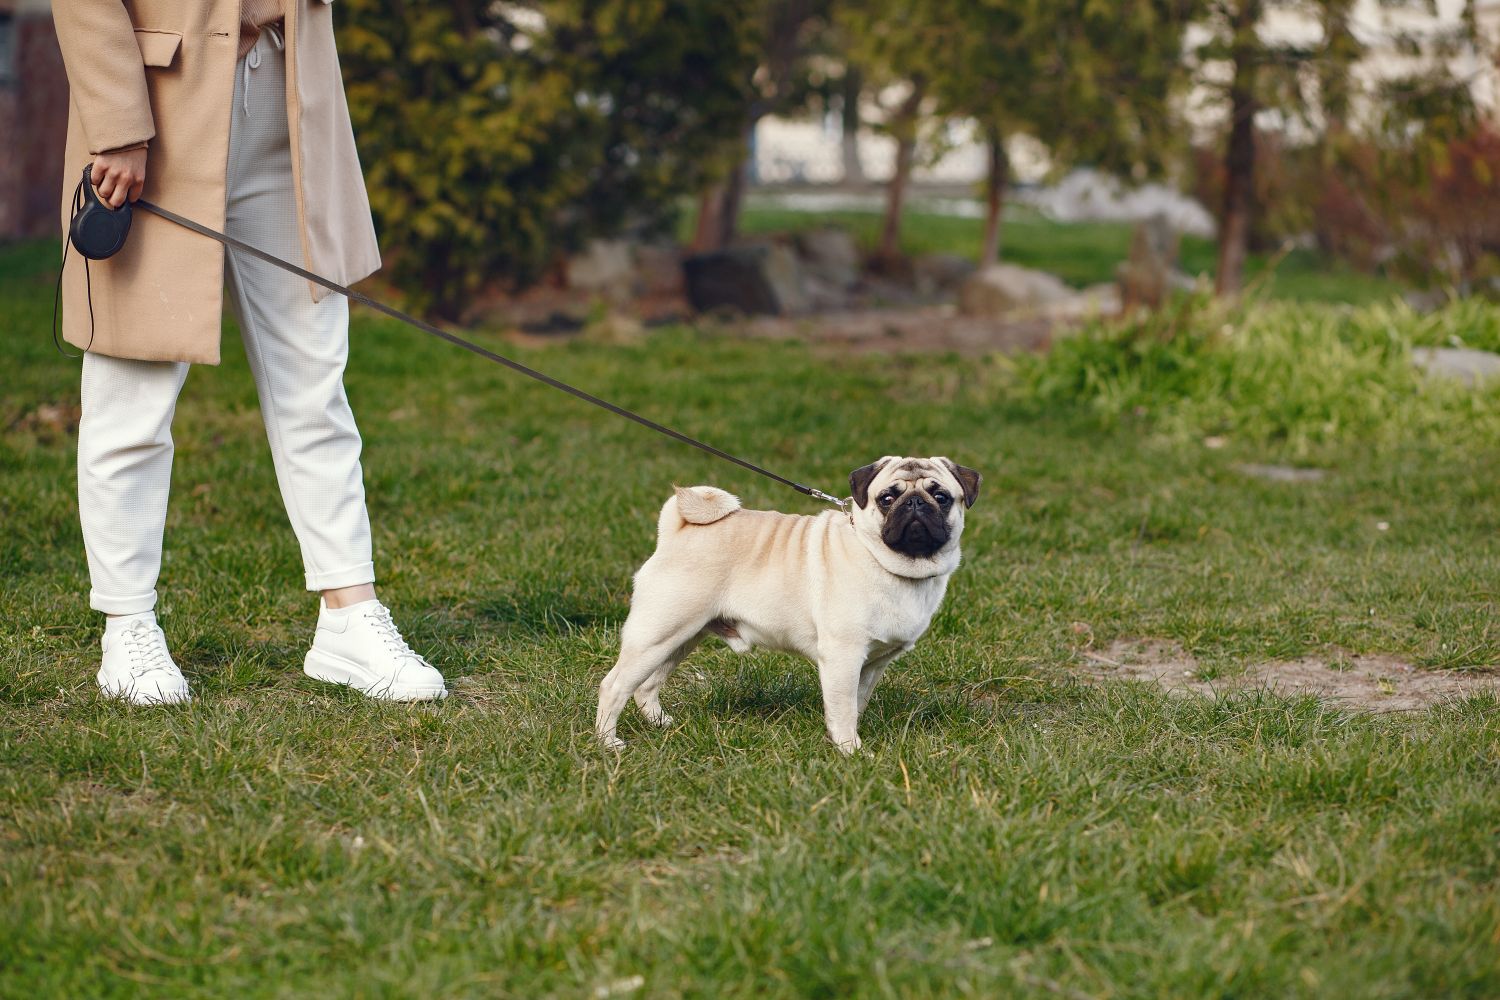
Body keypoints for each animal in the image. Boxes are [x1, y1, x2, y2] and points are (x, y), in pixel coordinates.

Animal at [597, 458, 984, 755]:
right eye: (887, 498)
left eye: (941, 497)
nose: (915, 504)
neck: (888, 564)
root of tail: (676, 530)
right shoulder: (843, 657)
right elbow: (843, 707)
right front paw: (850, 750)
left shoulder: (872, 664)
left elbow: (854, 704)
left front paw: (846, 739)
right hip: (657, 634)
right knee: (614, 686)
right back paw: (607, 742)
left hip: (681, 637)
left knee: (647, 685)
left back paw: (661, 724)